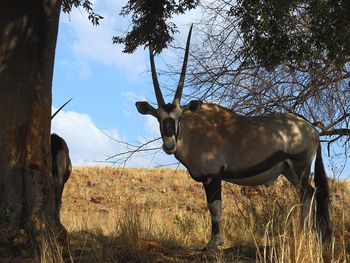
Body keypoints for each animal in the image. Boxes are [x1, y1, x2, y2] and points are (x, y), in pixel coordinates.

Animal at [135, 25, 332, 251]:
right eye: (158, 118)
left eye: (179, 117)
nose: (169, 145)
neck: (196, 131)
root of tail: (311, 129)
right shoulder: (207, 178)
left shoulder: (213, 175)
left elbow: (215, 208)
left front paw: (213, 244)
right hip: (289, 171)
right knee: (307, 194)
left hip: (300, 167)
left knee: (309, 194)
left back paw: (304, 234)